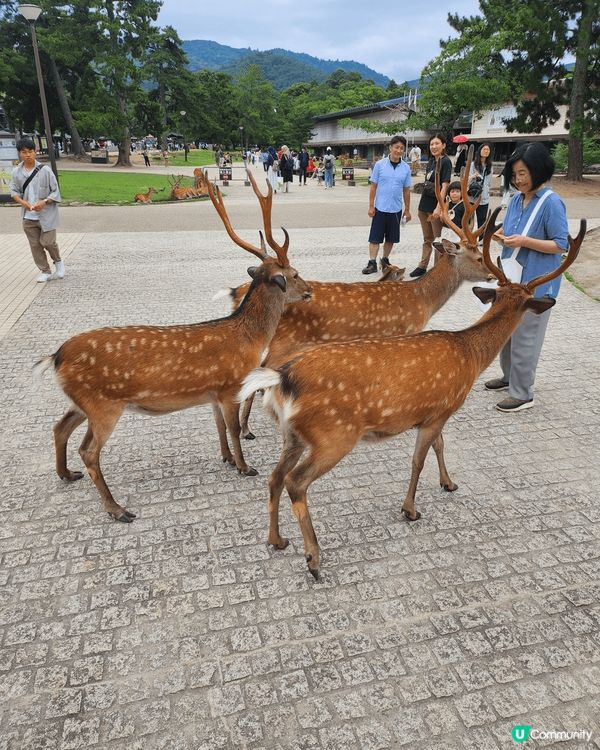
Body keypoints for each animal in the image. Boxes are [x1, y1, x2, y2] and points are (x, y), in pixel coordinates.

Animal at [33, 168, 311, 523]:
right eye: (294, 273)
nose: (309, 291)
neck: (248, 340)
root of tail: (55, 357)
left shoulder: (212, 393)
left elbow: (219, 427)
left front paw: (226, 458)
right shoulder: (230, 386)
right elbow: (234, 429)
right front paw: (244, 466)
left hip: (81, 401)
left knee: (59, 428)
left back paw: (66, 474)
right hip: (103, 406)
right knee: (89, 450)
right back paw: (117, 509)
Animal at [226, 147, 494, 440]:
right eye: (479, 257)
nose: (492, 275)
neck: (422, 300)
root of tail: (239, 294)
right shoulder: (403, 332)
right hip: (282, 341)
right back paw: (246, 429)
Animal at [238, 210, 586, 579]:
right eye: (479, 258)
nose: (491, 276)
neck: (470, 355)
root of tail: (282, 378)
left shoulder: (435, 412)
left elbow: (439, 446)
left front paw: (449, 483)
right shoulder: (441, 410)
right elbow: (419, 459)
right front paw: (410, 509)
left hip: (293, 434)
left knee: (275, 477)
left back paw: (276, 539)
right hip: (333, 434)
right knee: (296, 481)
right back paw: (314, 557)